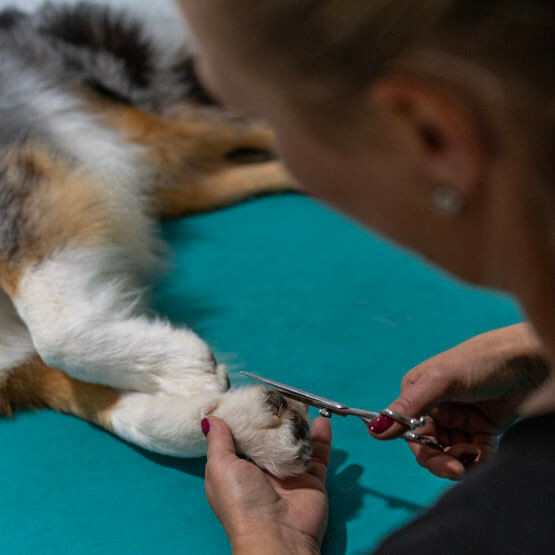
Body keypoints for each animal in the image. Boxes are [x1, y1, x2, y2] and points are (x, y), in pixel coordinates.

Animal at [0, 2, 311, 478]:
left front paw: (185, 366)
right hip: (160, 177)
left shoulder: (22, 186)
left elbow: (55, 334)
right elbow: (131, 417)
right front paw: (247, 425)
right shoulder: (15, 372)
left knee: (260, 127)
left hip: (144, 126)